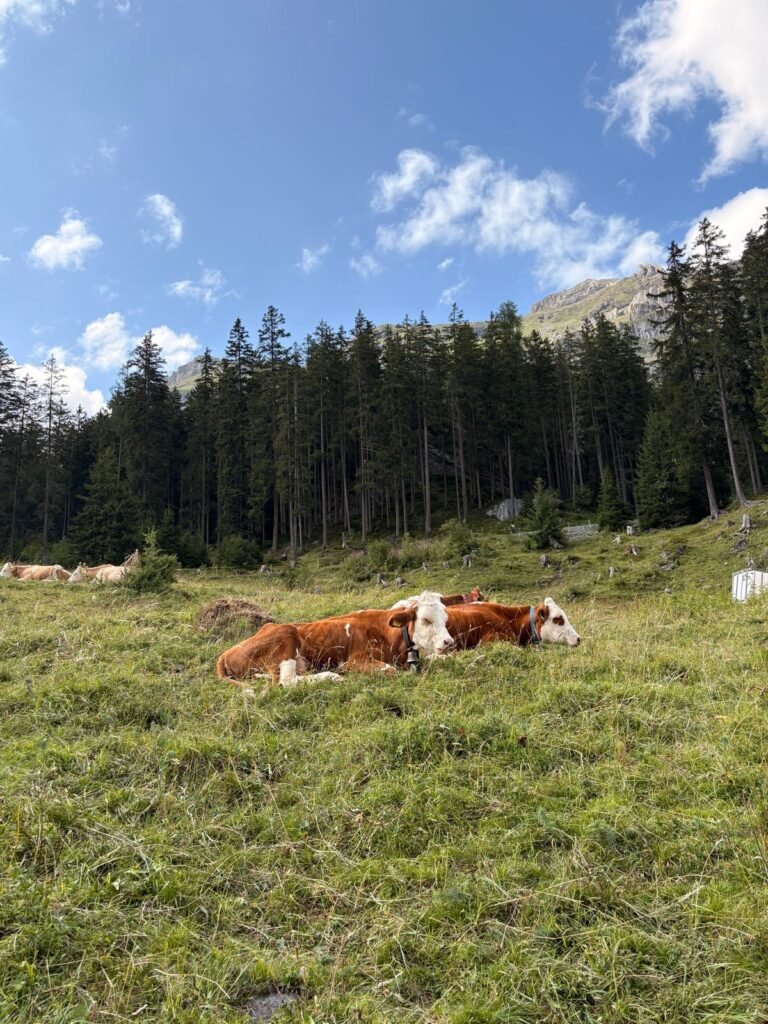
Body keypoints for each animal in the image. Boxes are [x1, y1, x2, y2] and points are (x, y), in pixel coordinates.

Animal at [216, 590, 454, 691]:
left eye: (445, 618)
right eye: (425, 619)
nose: (449, 642)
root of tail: (226, 652)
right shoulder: (355, 661)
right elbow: (390, 670)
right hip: (286, 635)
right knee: (286, 681)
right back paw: (331, 676)